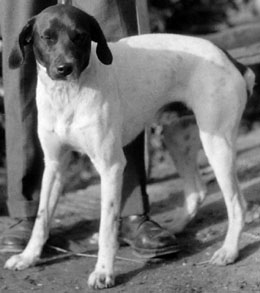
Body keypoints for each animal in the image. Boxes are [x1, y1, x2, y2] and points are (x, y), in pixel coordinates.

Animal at [5, 3, 255, 288]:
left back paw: (229, 251)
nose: (63, 68)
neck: (68, 96)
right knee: (197, 191)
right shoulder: (55, 164)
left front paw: (104, 271)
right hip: (177, 137)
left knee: (238, 205)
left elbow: (107, 226)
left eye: (80, 36)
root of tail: (229, 58)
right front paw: (28, 256)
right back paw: (173, 228)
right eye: (47, 37)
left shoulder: (111, 166)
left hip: (217, 144)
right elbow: (41, 218)